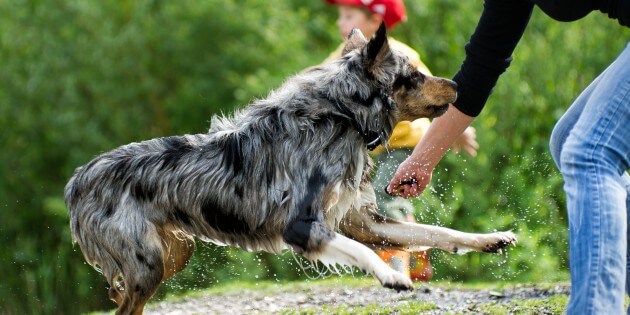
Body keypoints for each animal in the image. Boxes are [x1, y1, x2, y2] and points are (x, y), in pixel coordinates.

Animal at [64, 23, 520, 314]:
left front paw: (490, 239)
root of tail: (76, 180)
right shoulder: (300, 225)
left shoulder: (365, 222)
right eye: (414, 75)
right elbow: (358, 251)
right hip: (146, 264)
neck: (342, 118)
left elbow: (436, 232)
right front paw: (390, 278)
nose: (459, 85)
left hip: (173, 253)